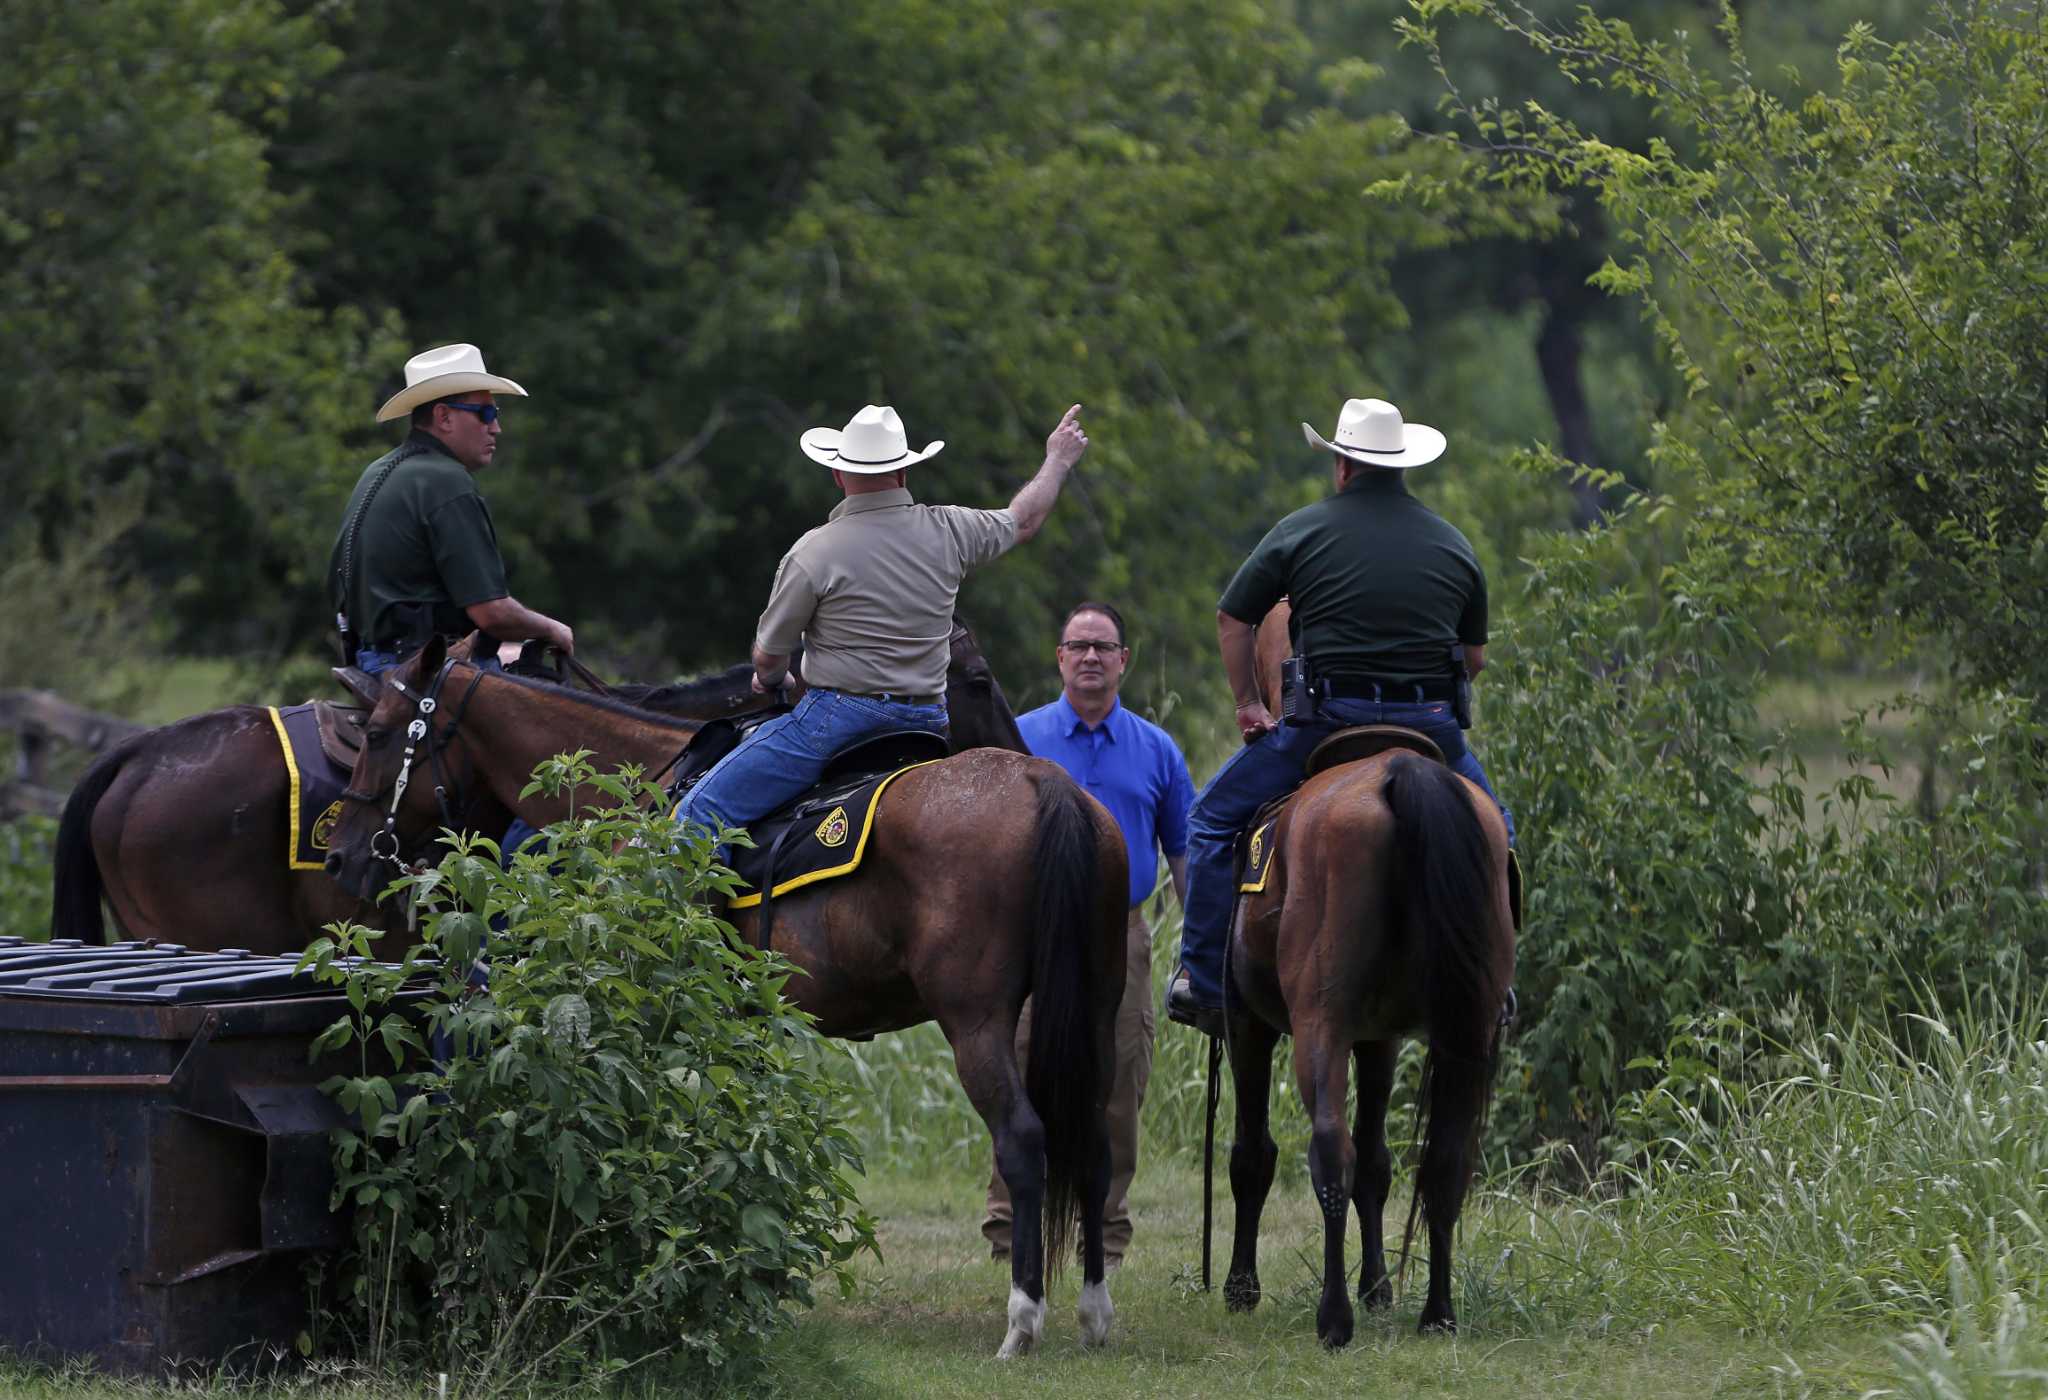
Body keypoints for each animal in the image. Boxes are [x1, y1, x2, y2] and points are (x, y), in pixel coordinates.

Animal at [323, 638, 1122, 1359]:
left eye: (377, 732)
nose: (343, 856)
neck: (636, 787)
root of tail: (1042, 784)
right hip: (1092, 1011)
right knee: (1094, 1139)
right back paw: (1093, 1311)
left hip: (977, 1022)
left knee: (1023, 1139)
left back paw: (1023, 1322)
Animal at [1212, 609, 1523, 1342]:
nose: (1255, 722)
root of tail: (1398, 772)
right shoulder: (1381, 1036)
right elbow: (1380, 1164)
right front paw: (1380, 1286)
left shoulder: (1248, 1024)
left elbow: (1253, 1154)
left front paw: (1242, 1287)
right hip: (1462, 1032)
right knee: (1442, 1164)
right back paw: (1437, 1312)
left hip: (1317, 1024)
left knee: (1329, 1151)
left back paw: (1333, 1318)